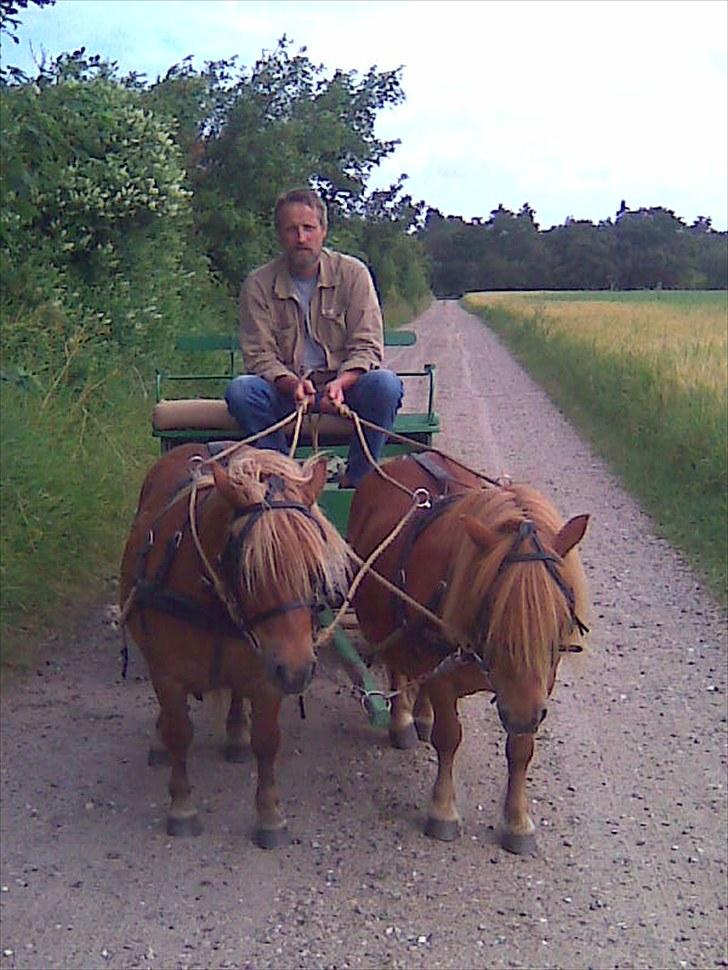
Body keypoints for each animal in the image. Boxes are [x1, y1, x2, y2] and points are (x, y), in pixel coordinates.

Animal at [118, 442, 350, 844]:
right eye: (248, 569)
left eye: (314, 570)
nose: (297, 671)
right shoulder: (168, 674)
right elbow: (180, 732)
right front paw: (182, 807)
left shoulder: (267, 672)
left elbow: (267, 739)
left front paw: (269, 814)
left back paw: (237, 732)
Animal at [346, 450, 592, 852]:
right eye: (493, 609)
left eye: (559, 614)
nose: (520, 715)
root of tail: (403, 456)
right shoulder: (448, 682)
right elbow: (449, 738)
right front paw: (443, 810)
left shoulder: (538, 685)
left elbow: (521, 749)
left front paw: (517, 821)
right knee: (399, 664)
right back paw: (403, 719)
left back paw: (421, 714)